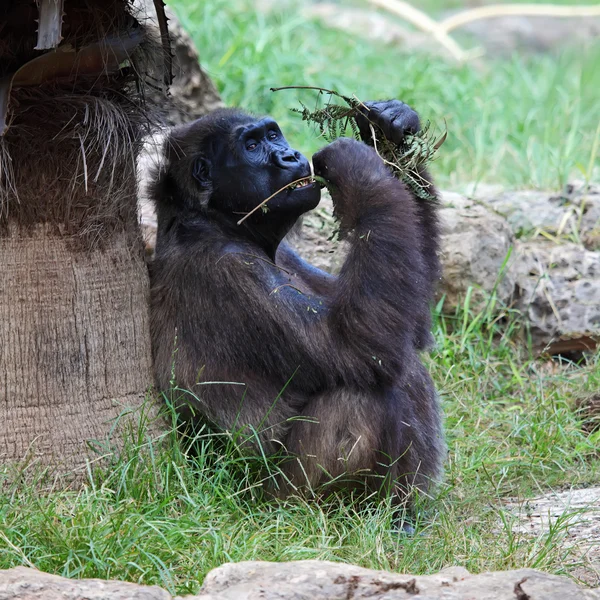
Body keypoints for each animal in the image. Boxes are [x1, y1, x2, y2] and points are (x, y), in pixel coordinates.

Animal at [148, 99, 442, 502]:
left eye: (274, 135)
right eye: (252, 146)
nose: (289, 155)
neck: (215, 220)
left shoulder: (289, 256)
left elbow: (410, 325)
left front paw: (389, 130)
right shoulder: (226, 270)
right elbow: (358, 347)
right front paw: (359, 168)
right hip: (278, 498)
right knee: (361, 393)